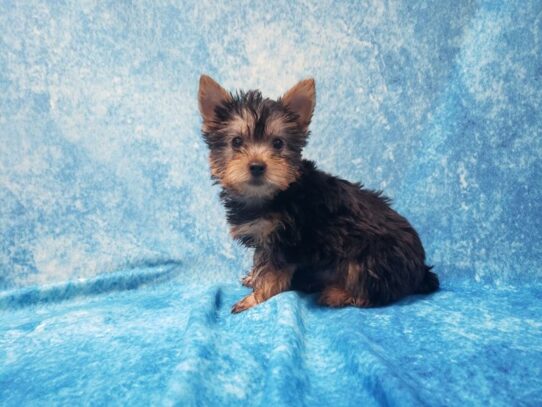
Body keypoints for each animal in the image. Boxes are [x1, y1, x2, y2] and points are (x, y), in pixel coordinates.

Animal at [198, 75, 440, 314]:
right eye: (236, 142)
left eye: (278, 143)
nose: (257, 166)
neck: (274, 194)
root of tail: (420, 270)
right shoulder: (267, 236)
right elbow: (261, 260)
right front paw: (253, 278)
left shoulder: (287, 240)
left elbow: (273, 272)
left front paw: (256, 298)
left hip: (373, 256)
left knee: (372, 289)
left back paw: (337, 294)